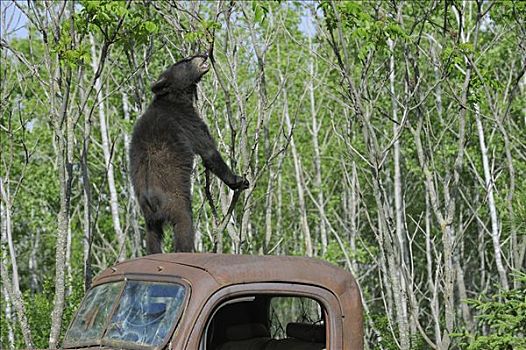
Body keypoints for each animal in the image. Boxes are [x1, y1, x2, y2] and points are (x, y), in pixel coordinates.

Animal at [130, 52, 250, 254]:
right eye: (184, 61)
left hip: (149, 219)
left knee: (152, 237)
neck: (175, 96)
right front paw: (239, 180)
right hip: (177, 202)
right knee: (184, 225)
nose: (203, 54)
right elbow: (209, 151)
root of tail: (151, 199)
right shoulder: (188, 120)